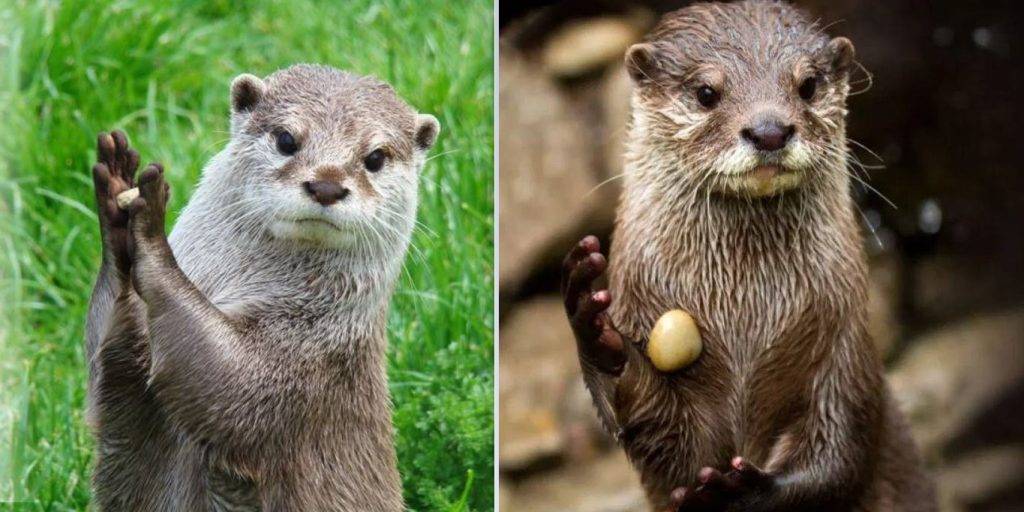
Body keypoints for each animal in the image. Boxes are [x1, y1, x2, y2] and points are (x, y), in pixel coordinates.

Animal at [86, 66, 438, 509]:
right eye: (286, 139)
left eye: (375, 158)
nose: (326, 185)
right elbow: (108, 373)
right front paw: (116, 204)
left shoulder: (304, 366)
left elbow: (232, 386)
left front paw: (150, 230)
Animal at [561, 2, 937, 509]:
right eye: (706, 92)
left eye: (808, 84)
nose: (769, 130)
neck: (746, 319)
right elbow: (665, 437)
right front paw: (594, 325)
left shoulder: (843, 347)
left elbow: (839, 455)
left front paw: (744, 489)